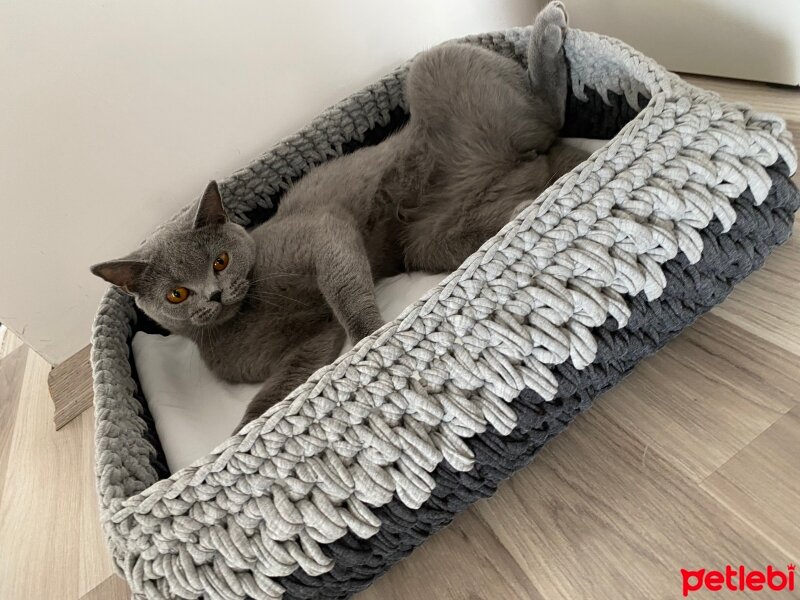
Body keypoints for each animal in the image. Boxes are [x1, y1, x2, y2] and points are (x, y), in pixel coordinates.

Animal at [92, 0, 588, 432]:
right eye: (176, 294)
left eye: (220, 261)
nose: (213, 295)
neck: (242, 315)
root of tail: (521, 162)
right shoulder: (309, 343)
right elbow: (274, 393)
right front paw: (242, 438)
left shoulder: (321, 231)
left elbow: (342, 289)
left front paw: (372, 338)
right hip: (429, 242)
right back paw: (529, 201)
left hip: (436, 66)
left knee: (549, 115)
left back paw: (549, 26)